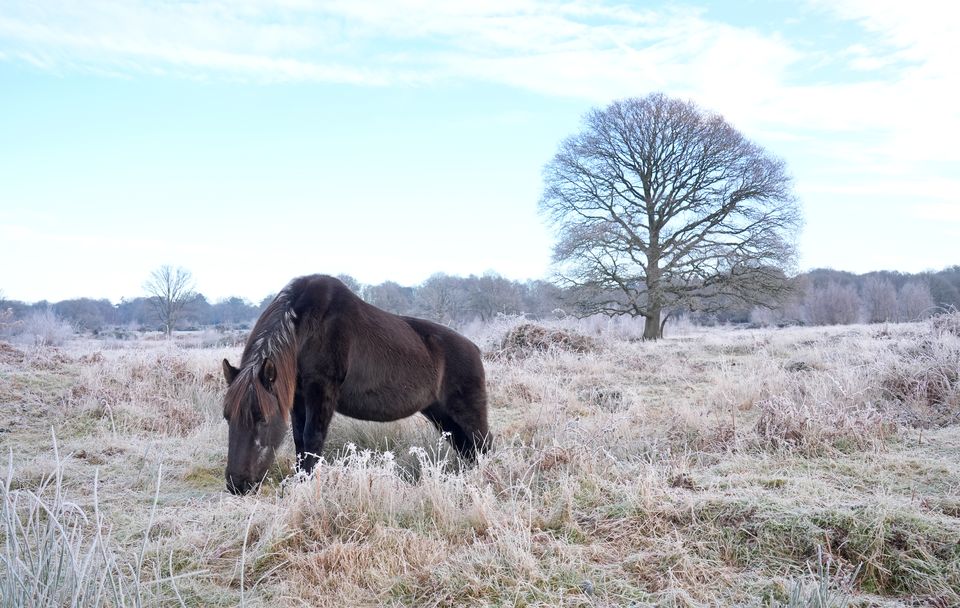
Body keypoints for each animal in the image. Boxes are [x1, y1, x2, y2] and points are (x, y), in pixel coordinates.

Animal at [222, 274, 492, 494]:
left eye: (262, 418)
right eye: (227, 417)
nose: (238, 484)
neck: (309, 328)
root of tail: (474, 348)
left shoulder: (322, 391)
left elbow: (312, 439)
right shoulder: (298, 397)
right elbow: (299, 439)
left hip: (469, 416)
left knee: (483, 446)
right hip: (442, 416)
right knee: (467, 450)